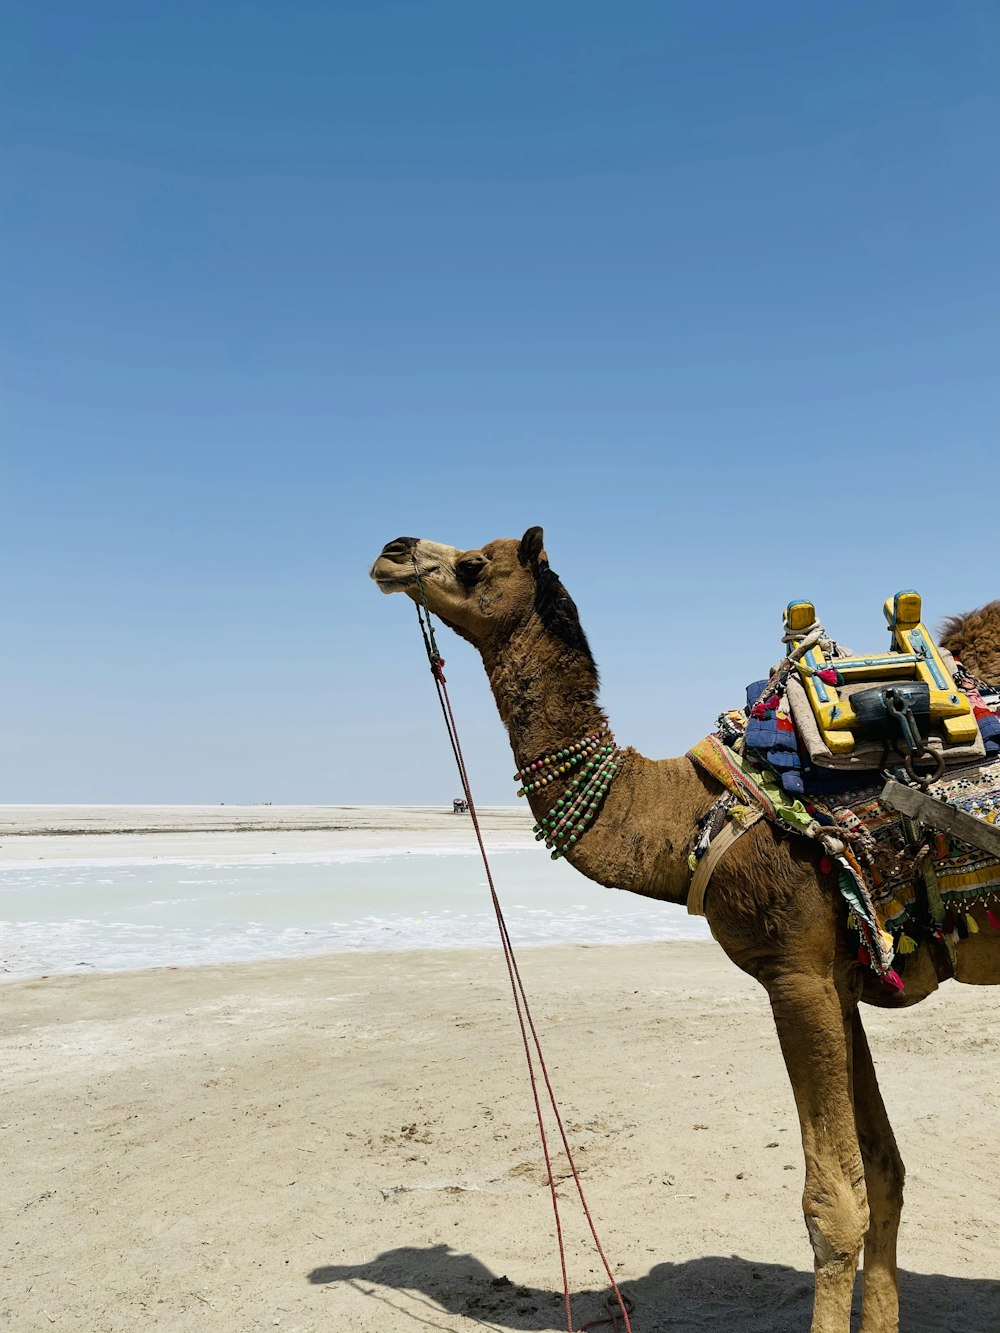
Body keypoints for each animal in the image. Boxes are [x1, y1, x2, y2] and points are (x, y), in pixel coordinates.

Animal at [370, 527, 1000, 1333]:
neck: (689, 816)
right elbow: (882, 1171)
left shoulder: (792, 970)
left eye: (476, 563)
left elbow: (831, 1206)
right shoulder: (840, 973)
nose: (393, 551)